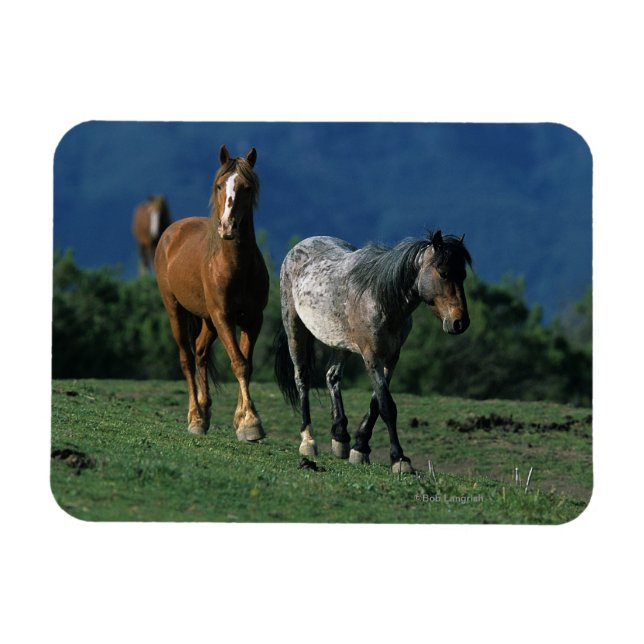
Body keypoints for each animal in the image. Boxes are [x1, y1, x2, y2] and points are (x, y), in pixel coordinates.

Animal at [154, 145, 269, 441]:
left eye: (247, 187)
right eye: (219, 185)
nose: (228, 227)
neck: (235, 265)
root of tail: (171, 232)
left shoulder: (253, 319)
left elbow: (247, 365)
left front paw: (242, 421)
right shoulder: (223, 316)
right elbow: (238, 362)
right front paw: (251, 423)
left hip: (207, 320)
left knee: (200, 352)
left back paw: (204, 413)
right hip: (176, 310)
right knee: (186, 358)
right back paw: (195, 417)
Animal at [275, 231, 471, 473]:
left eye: (463, 275)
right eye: (443, 273)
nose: (460, 322)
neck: (379, 298)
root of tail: (299, 247)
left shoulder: (392, 357)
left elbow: (376, 404)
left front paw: (360, 447)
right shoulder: (371, 356)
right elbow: (387, 405)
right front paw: (399, 459)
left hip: (341, 343)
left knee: (332, 376)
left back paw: (340, 436)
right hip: (294, 329)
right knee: (302, 378)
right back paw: (308, 442)